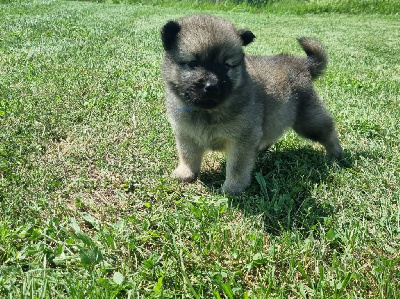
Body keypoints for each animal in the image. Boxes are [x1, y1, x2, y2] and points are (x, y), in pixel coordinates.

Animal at [161, 14, 342, 196]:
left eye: (226, 65)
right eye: (193, 63)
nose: (211, 86)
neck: (207, 112)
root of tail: (301, 64)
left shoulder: (242, 139)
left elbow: (236, 167)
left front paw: (233, 187)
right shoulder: (186, 134)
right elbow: (188, 156)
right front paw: (185, 173)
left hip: (307, 120)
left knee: (327, 131)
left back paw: (336, 153)